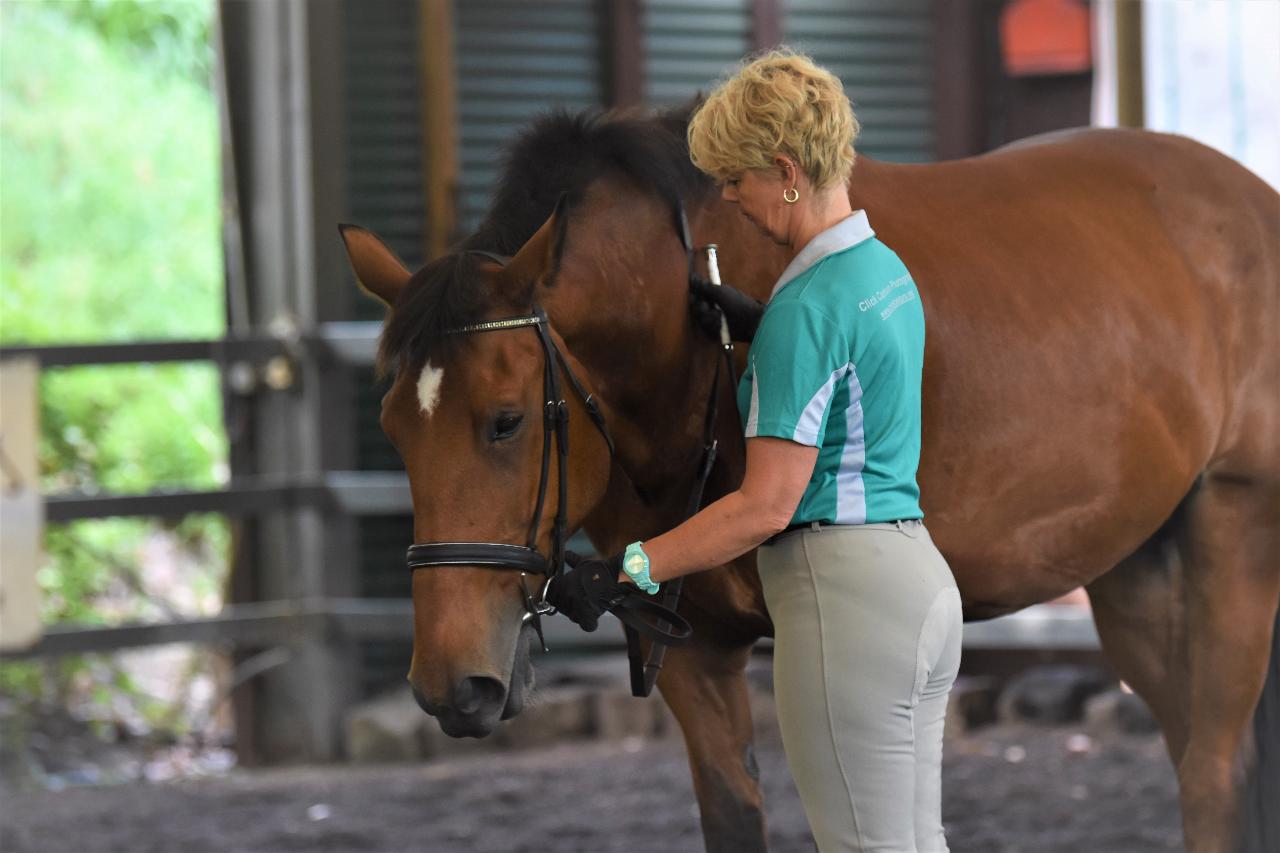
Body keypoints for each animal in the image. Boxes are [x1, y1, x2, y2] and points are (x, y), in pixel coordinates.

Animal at [343, 108, 1280, 850]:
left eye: (506, 419)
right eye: (392, 426)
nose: (452, 685)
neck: (692, 339)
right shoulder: (694, 652)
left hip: (1233, 534)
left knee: (1213, 772)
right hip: (1136, 573)